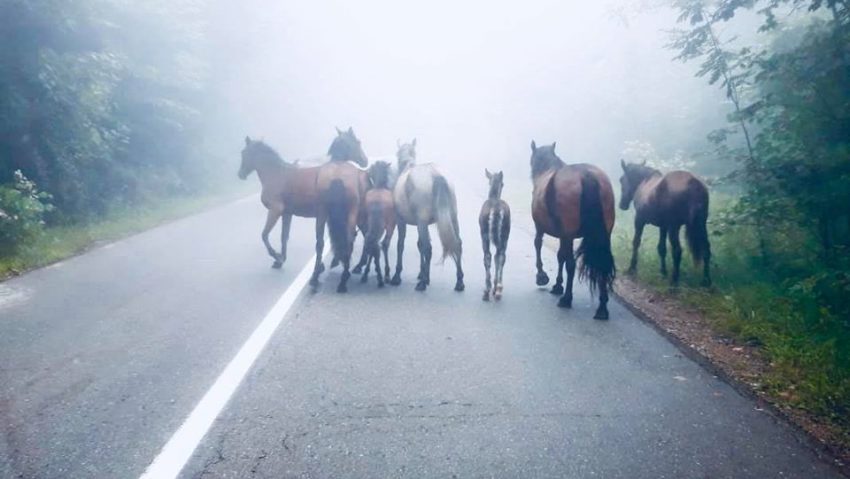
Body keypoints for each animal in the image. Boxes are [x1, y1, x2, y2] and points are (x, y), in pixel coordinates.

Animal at [238, 137, 322, 270]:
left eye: (244, 152)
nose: (240, 174)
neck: (275, 174)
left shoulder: (275, 210)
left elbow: (264, 235)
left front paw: (277, 257)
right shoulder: (287, 213)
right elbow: (284, 237)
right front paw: (280, 260)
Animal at [308, 127, 368, 292]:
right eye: (358, 142)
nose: (365, 160)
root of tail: (337, 177)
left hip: (321, 213)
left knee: (320, 242)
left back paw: (315, 278)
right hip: (351, 213)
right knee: (349, 239)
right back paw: (344, 278)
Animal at [390, 137, 464, 290]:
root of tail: (435, 174)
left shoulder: (401, 221)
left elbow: (402, 244)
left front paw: (398, 275)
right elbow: (420, 245)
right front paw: (422, 273)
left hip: (422, 223)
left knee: (428, 248)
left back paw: (422, 284)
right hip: (452, 218)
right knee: (458, 243)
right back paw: (459, 281)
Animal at [476, 171, 510, 302]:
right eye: (503, 183)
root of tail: (496, 210)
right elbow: (498, 257)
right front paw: (496, 288)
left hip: (485, 234)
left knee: (488, 256)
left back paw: (487, 291)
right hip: (505, 234)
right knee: (501, 256)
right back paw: (498, 289)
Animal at [528, 142, 612, 322]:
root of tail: (587, 176)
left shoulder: (542, 228)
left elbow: (539, 245)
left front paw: (543, 277)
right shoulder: (563, 235)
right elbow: (560, 256)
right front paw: (557, 284)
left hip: (568, 233)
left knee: (571, 264)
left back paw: (566, 299)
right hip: (604, 234)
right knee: (602, 263)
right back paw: (602, 308)